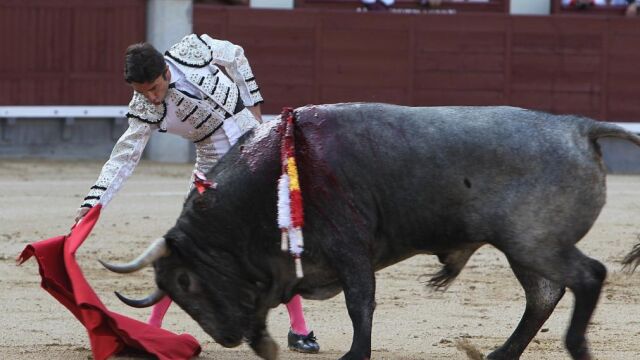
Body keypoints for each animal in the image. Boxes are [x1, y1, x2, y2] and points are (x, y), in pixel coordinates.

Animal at [100, 102, 640, 358]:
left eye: (186, 281)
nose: (230, 337)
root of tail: (577, 126)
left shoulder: (349, 247)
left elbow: (360, 302)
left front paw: (356, 354)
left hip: (532, 241)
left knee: (586, 277)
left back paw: (575, 347)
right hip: (523, 247)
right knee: (544, 295)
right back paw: (500, 354)